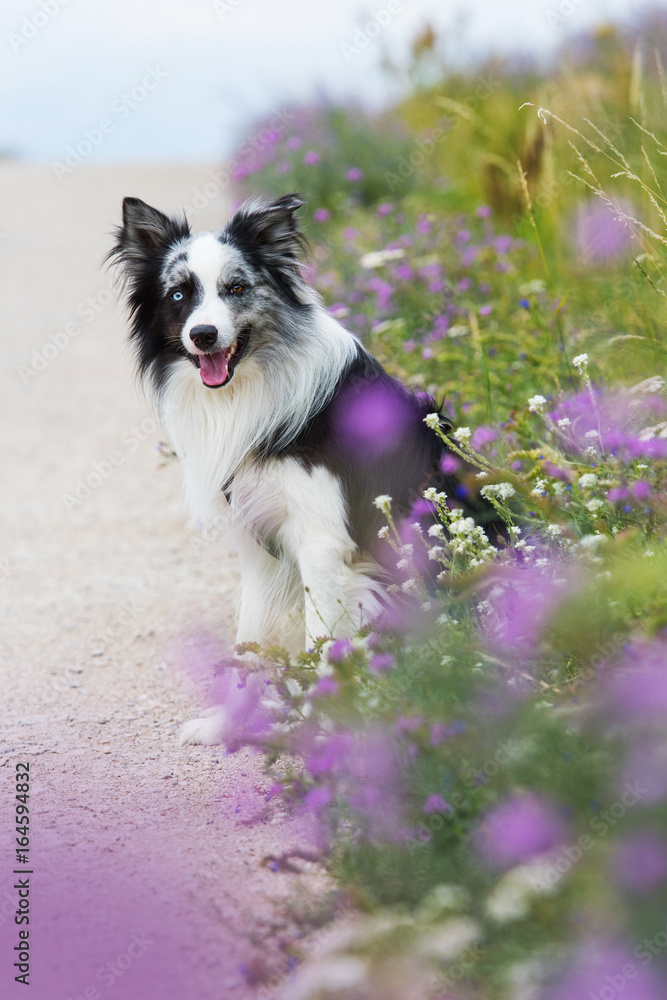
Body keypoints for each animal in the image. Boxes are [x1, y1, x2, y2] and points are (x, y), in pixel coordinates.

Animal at [109, 193, 446, 744]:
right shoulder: (255, 542)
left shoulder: (321, 543)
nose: (204, 335)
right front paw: (226, 725)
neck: (252, 386)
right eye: (179, 294)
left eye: (237, 288)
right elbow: (247, 638)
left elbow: (321, 644)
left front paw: (321, 725)